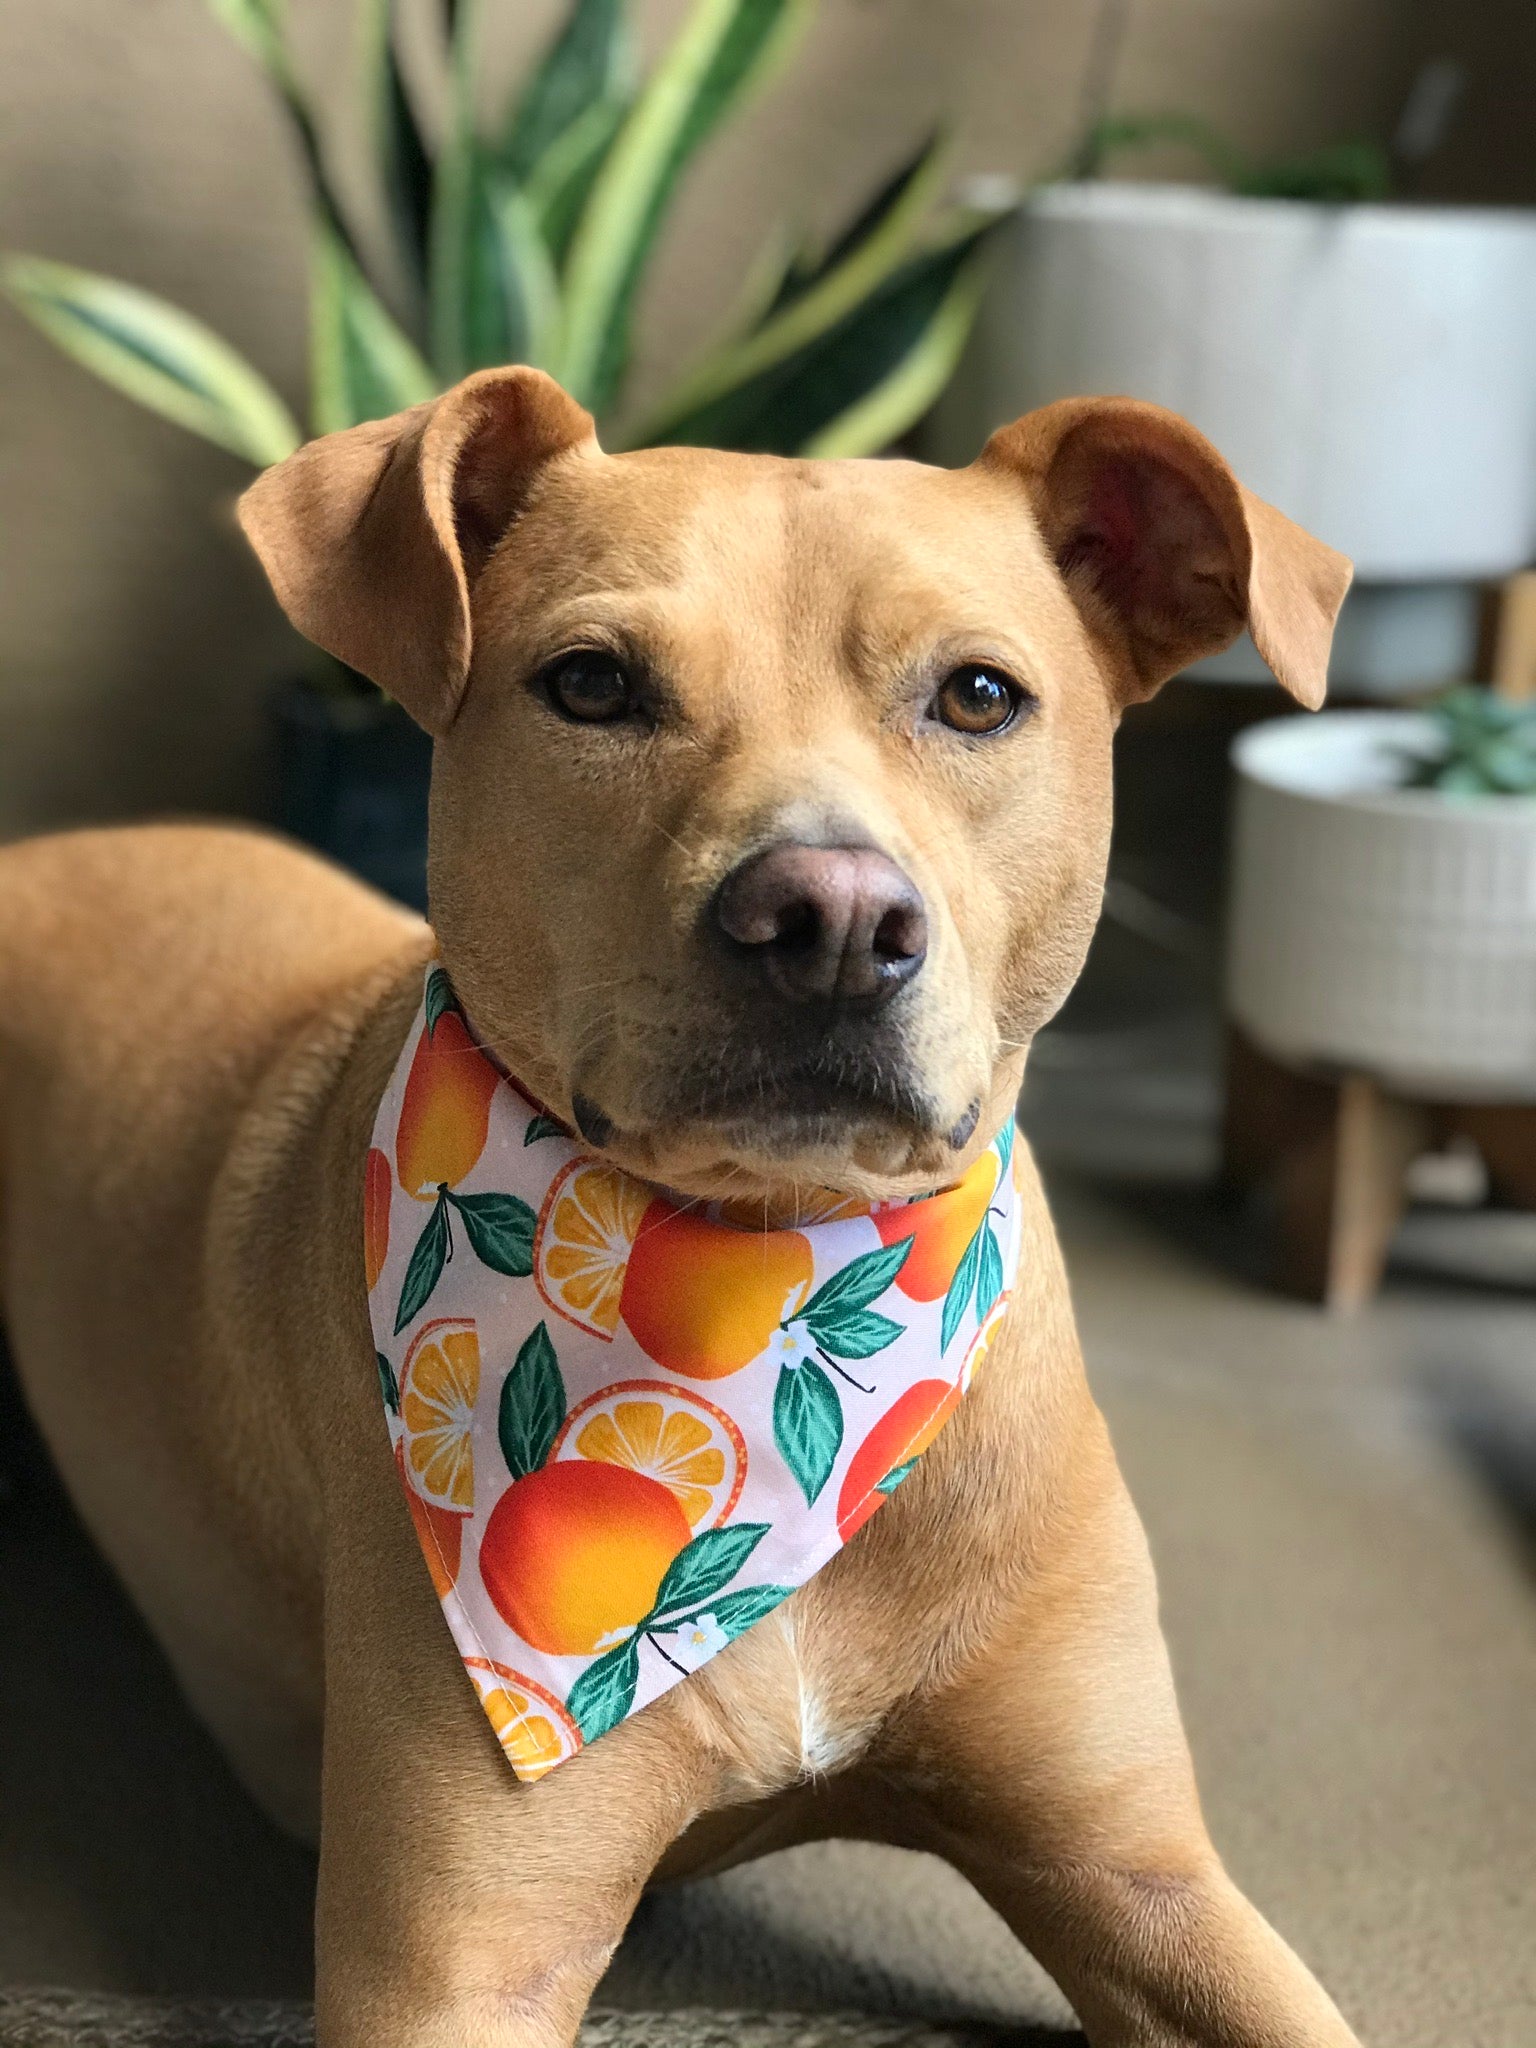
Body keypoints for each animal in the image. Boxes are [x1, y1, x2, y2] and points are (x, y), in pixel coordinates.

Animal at [0, 372, 1359, 2048]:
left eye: (978, 696)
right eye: (591, 685)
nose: (830, 921)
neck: (770, 1302)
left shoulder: (1142, 1876)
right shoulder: (454, 1964)